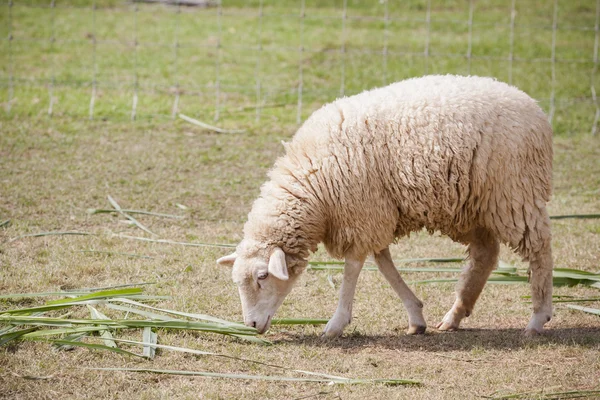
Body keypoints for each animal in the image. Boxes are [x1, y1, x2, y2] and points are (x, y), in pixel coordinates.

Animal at [218, 75, 556, 338]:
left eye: (263, 277)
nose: (251, 325)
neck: (312, 184)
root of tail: (535, 108)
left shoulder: (361, 211)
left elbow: (354, 268)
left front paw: (336, 323)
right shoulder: (375, 211)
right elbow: (384, 263)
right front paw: (416, 316)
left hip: (514, 194)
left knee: (539, 248)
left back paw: (538, 318)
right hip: (471, 205)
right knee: (486, 254)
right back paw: (455, 315)